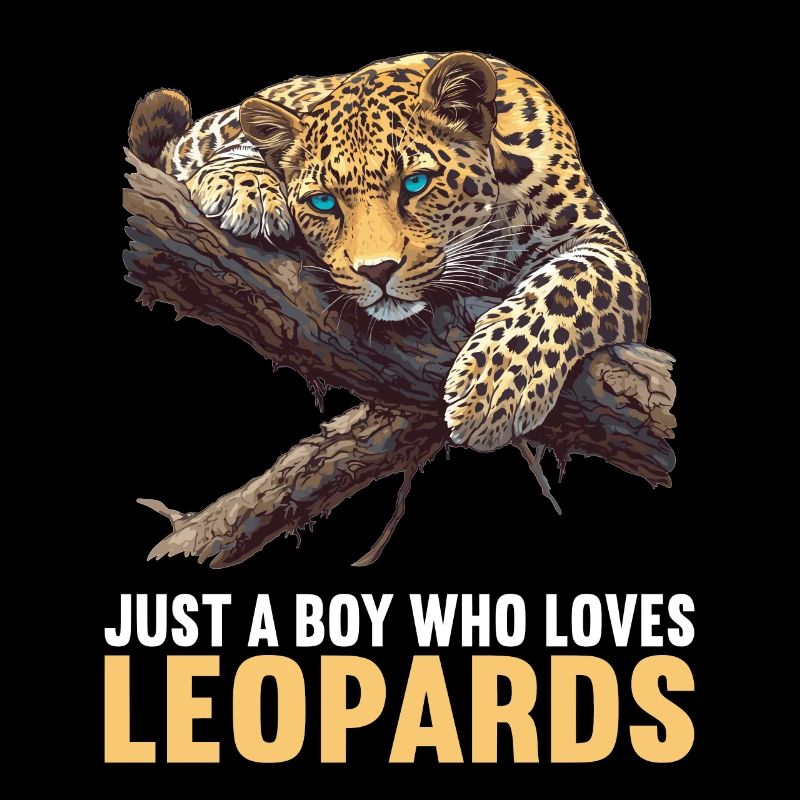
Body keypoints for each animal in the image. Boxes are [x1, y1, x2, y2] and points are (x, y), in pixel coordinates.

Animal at [129, 52, 650, 453]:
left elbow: (567, 286)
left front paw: (496, 387)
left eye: (415, 183)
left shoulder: (602, 242)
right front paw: (248, 183)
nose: (377, 271)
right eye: (324, 202)